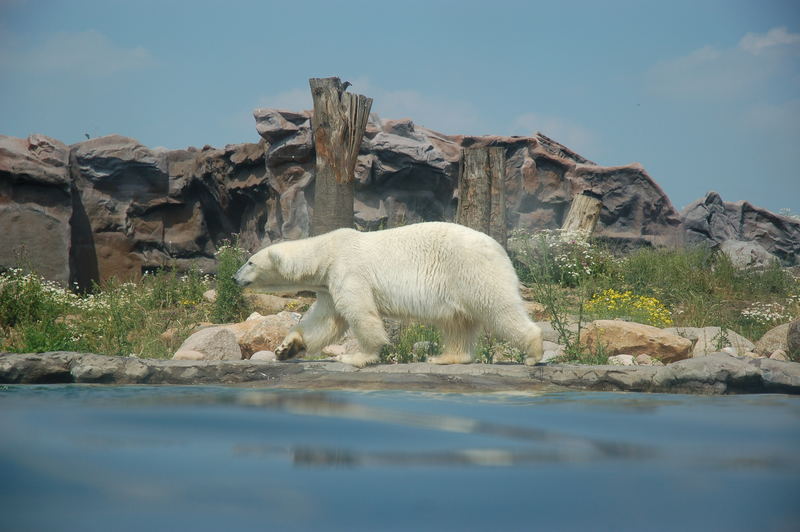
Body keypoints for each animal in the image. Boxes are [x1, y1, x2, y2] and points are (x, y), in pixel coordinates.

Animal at [233, 222, 544, 368]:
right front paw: (287, 348)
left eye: (250, 262)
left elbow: (360, 313)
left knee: (498, 308)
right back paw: (445, 357)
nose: (235, 277)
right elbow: (325, 320)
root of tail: (499, 248)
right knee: (456, 322)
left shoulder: (349, 270)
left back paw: (533, 352)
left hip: (471, 270)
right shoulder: (330, 283)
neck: (327, 251)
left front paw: (358, 357)